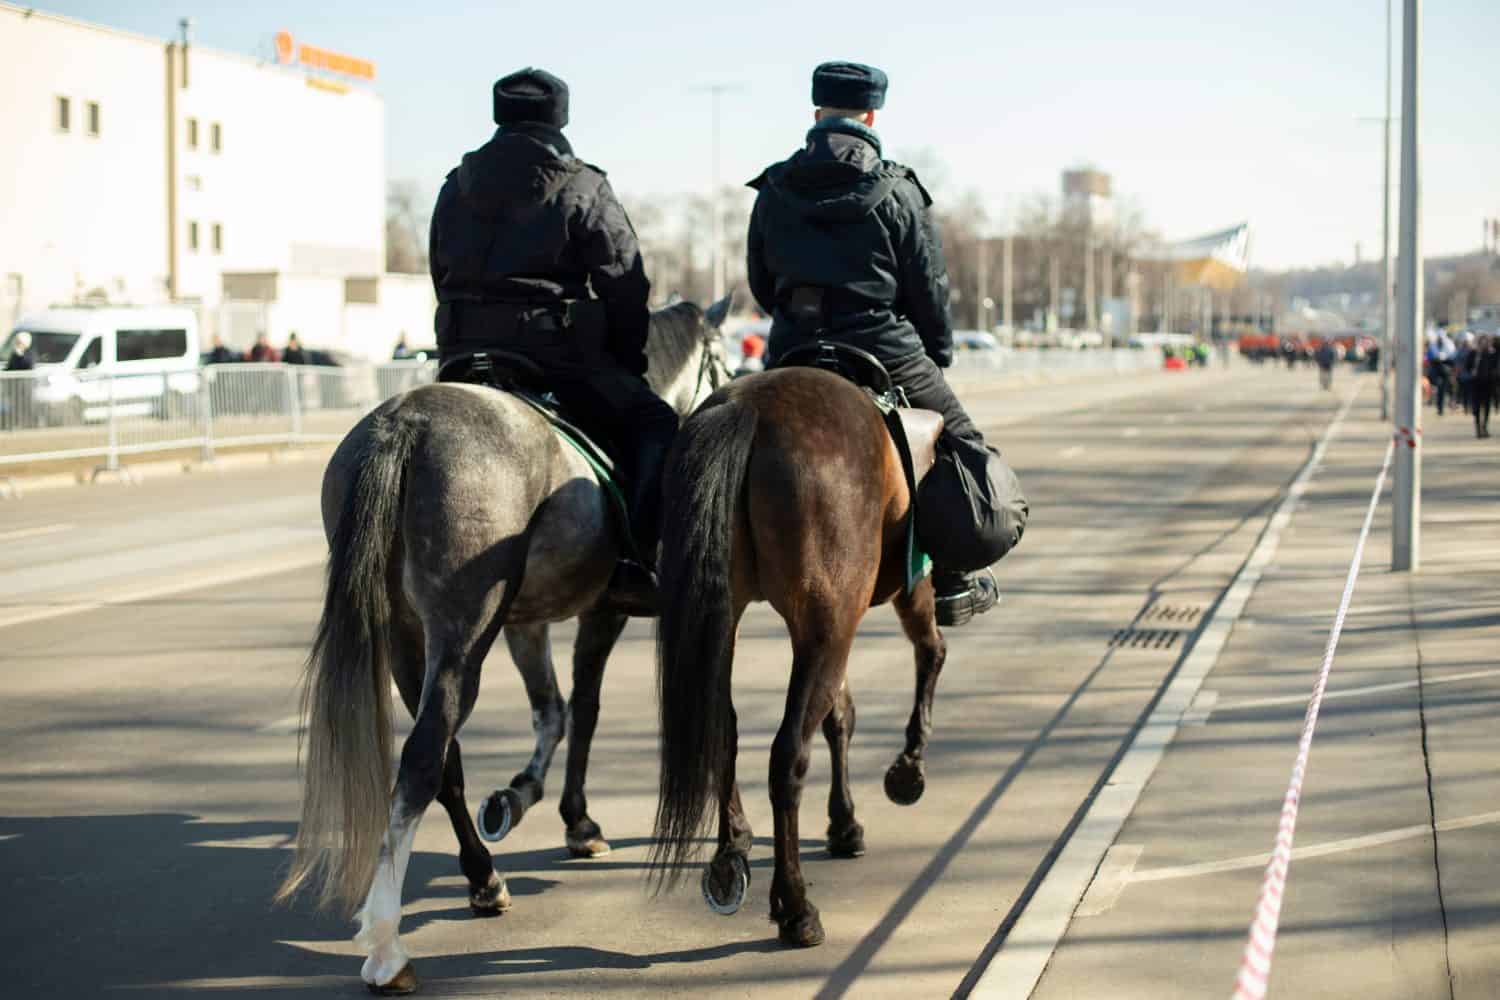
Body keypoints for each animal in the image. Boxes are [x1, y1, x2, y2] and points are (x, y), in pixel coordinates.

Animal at [280, 299, 732, 995]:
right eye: (725, 357)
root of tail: (404, 423)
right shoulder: (601, 612)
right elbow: (586, 709)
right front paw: (576, 819)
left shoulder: (526, 621)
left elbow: (554, 711)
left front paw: (521, 799)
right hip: (465, 630)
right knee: (423, 758)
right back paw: (386, 946)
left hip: (415, 640)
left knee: (445, 760)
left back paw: (483, 878)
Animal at [651, 365, 942, 947]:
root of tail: (748, 406)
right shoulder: (903, 588)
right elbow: (929, 652)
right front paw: (907, 769)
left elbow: (840, 718)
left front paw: (844, 823)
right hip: (828, 624)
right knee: (787, 756)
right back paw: (796, 907)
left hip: (732, 618)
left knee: (724, 730)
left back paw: (729, 857)